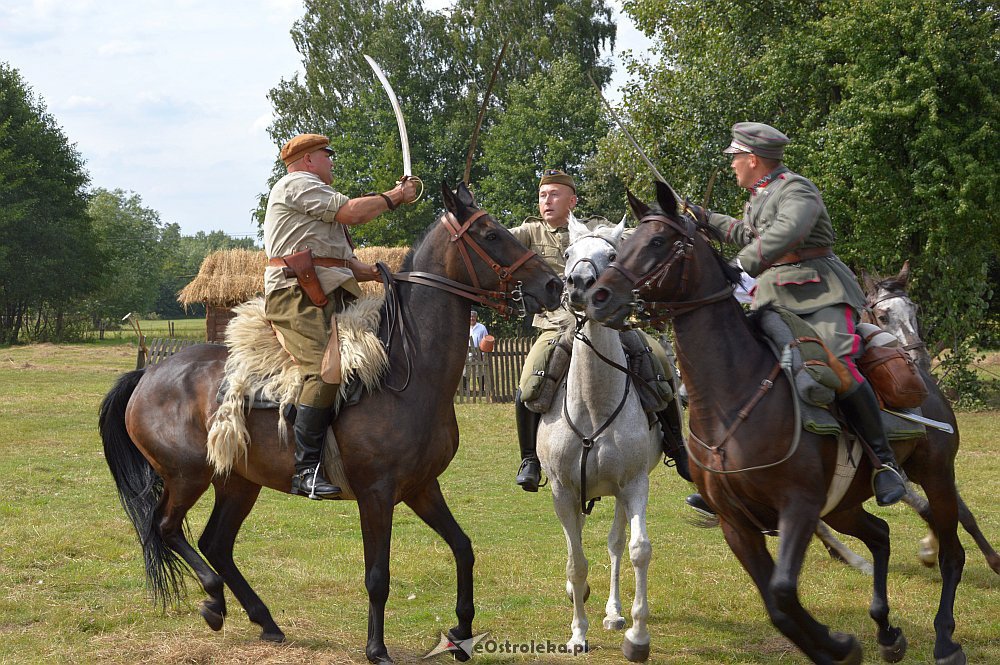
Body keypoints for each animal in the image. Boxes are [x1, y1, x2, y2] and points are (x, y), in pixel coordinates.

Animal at [99, 182, 564, 664]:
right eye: (491, 234)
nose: (554, 284)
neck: (405, 370)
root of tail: (148, 375)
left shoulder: (421, 488)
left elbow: (463, 548)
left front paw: (461, 632)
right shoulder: (376, 496)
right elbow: (377, 575)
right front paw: (377, 648)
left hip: (238, 481)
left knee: (216, 543)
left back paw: (265, 620)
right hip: (187, 476)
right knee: (166, 528)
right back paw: (213, 599)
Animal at [536, 217, 660, 660]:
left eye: (612, 255)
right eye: (569, 254)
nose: (580, 283)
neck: (594, 403)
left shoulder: (635, 484)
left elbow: (637, 550)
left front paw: (637, 635)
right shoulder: (562, 490)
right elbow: (576, 561)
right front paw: (578, 633)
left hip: (621, 493)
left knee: (615, 544)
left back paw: (614, 612)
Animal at [584, 182, 968, 664]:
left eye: (657, 241)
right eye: (625, 244)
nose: (597, 296)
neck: (733, 397)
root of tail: (925, 380)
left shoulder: (798, 507)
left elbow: (784, 591)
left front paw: (837, 644)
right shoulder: (738, 524)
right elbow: (776, 604)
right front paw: (835, 646)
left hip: (935, 476)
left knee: (953, 553)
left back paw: (945, 638)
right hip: (843, 504)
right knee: (880, 535)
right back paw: (886, 631)